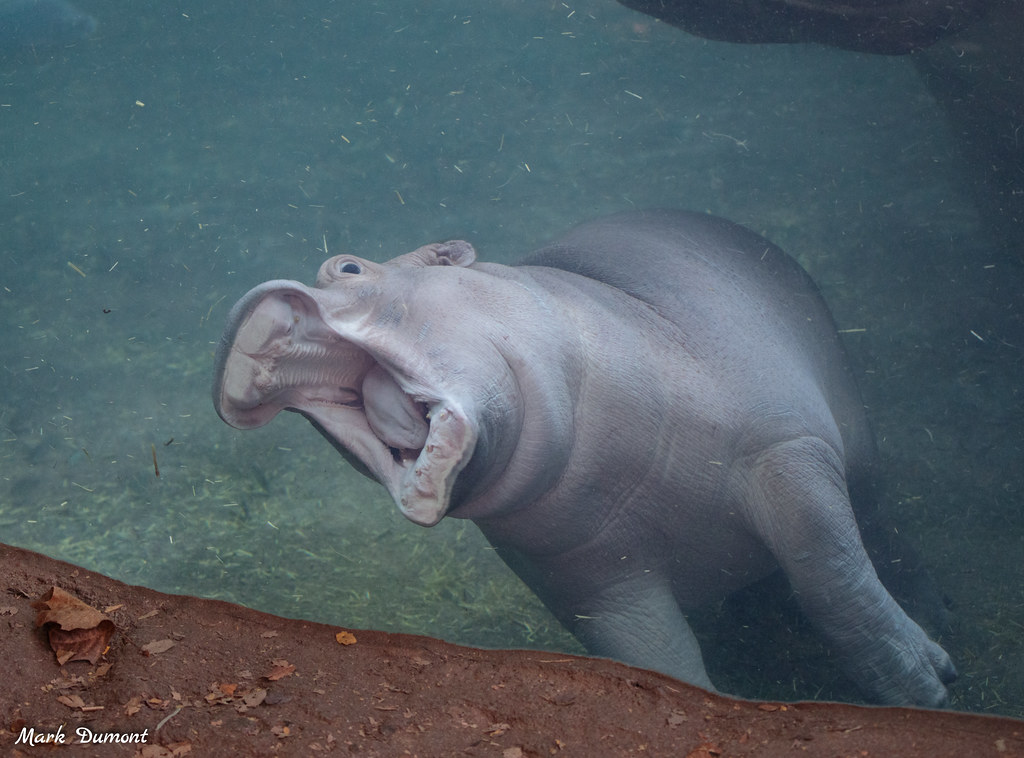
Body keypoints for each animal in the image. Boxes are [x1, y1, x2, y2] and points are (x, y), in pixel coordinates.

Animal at [212, 209, 956, 706]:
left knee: (868, 540)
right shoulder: (593, 585)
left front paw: (929, 688)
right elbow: (658, 658)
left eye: (347, 267)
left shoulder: (787, 452)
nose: (254, 321)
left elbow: (831, 575)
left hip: (861, 464)